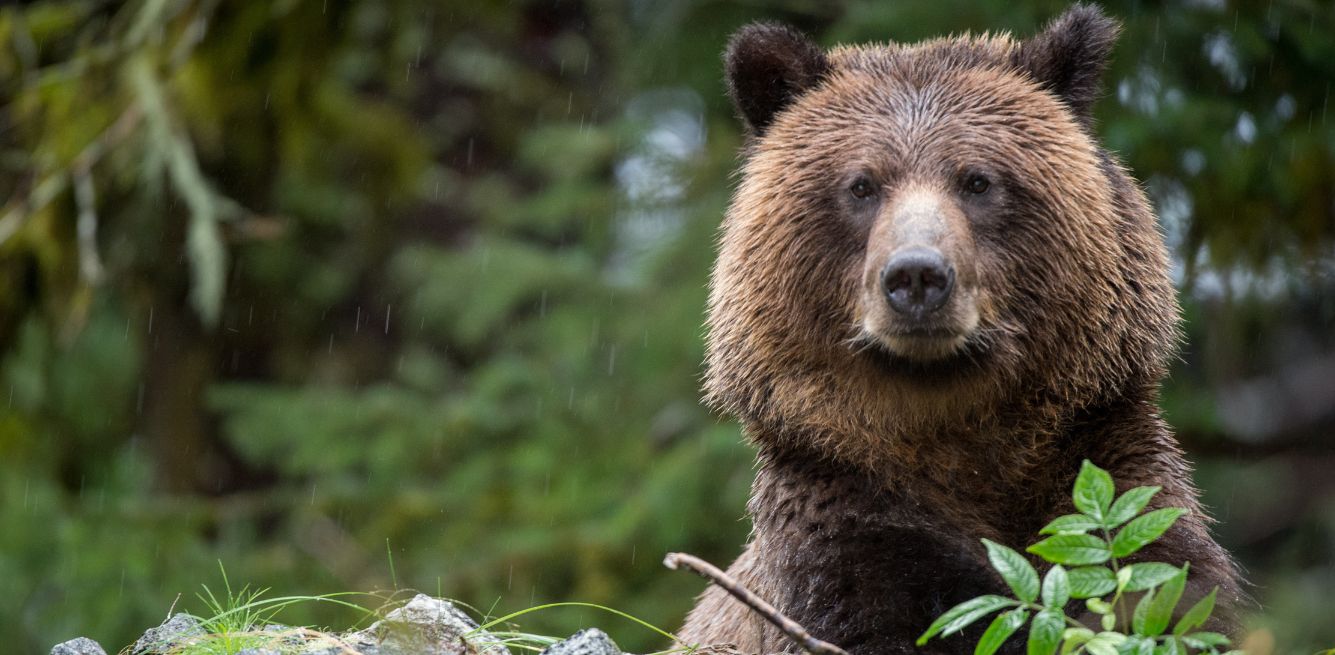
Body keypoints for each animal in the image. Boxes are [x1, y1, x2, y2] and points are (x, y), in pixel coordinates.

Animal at [683, 6, 1244, 655]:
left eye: (977, 180)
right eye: (861, 185)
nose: (917, 276)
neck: (954, 433)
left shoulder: (1113, 473)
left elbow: (1172, 591)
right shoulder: (844, 528)